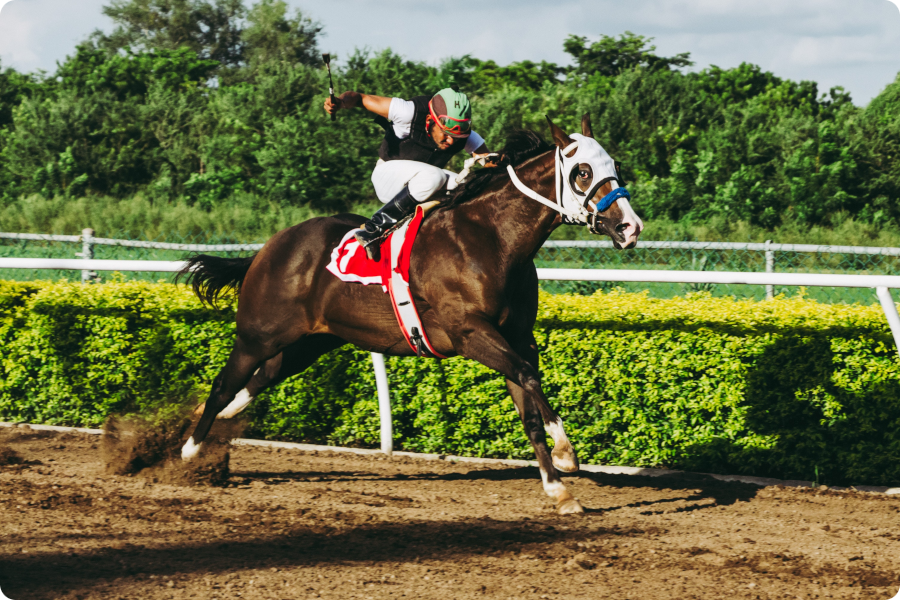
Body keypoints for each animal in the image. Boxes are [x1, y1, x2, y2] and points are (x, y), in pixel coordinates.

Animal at [179, 114, 643, 515]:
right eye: (582, 171)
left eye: (616, 166)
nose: (630, 227)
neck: (492, 239)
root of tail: (268, 248)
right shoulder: (471, 334)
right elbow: (528, 379)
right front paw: (566, 456)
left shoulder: (517, 337)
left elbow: (528, 405)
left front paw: (559, 489)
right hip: (257, 335)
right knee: (224, 383)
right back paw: (189, 450)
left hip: (309, 342)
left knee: (258, 380)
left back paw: (213, 419)